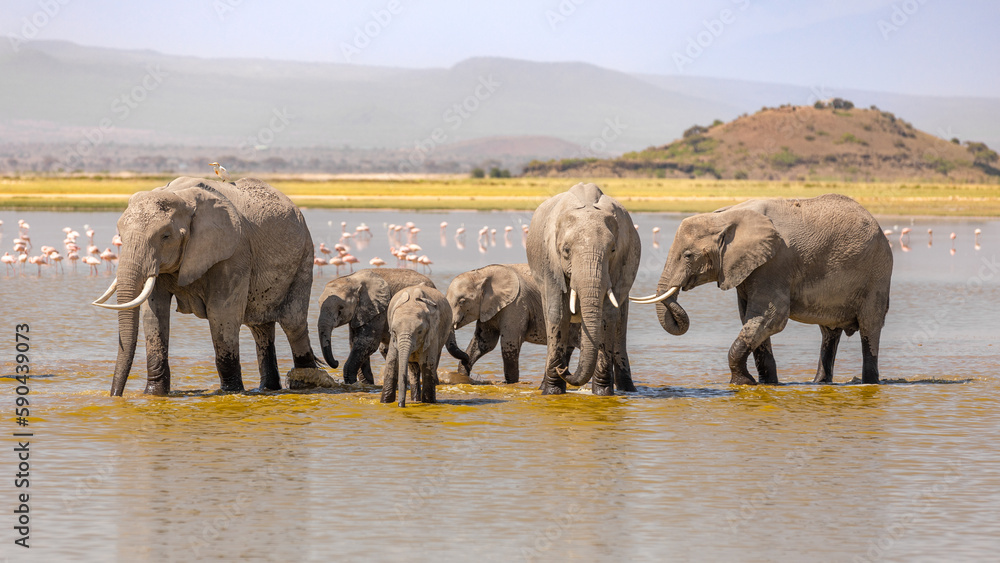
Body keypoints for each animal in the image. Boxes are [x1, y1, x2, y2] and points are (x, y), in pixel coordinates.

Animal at [92, 176, 322, 396]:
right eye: (120, 235)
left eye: (165, 236)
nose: (115, 395)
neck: (181, 195)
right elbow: (154, 313)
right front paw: (154, 394)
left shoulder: (234, 252)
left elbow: (222, 312)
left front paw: (231, 393)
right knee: (260, 328)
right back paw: (269, 389)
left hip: (304, 256)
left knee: (293, 322)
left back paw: (307, 386)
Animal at [317, 268, 469, 384]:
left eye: (340, 309)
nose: (336, 362)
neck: (352, 278)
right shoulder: (360, 313)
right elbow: (355, 342)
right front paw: (366, 383)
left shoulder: (378, 309)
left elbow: (367, 343)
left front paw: (352, 382)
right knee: (386, 349)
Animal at [446, 263, 579, 383]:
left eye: (462, 301)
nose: (465, 357)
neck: (482, 273)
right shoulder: (488, 308)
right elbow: (484, 342)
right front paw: (463, 374)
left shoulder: (516, 304)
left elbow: (509, 342)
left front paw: (511, 383)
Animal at [525, 182, 641, 396]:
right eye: (566, 250)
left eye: (613, 250)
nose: (564, 369)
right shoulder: (550, 262)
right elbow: (558, 314)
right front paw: (552, 392)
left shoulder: (620, 264)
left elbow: (607, 317)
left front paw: (603, 394)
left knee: (620, 325)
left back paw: (628, 390)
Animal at [631, 193, 892, 385]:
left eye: (687, 256)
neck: (727, 216)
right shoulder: (747, 267)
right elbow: (750, 318)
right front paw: (767, 384)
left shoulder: (775, 263)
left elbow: (770, 317)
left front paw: (743, 383)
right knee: (829, 332)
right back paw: (819, 383)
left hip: (877, 275)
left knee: (869, 327)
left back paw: (870, 383)